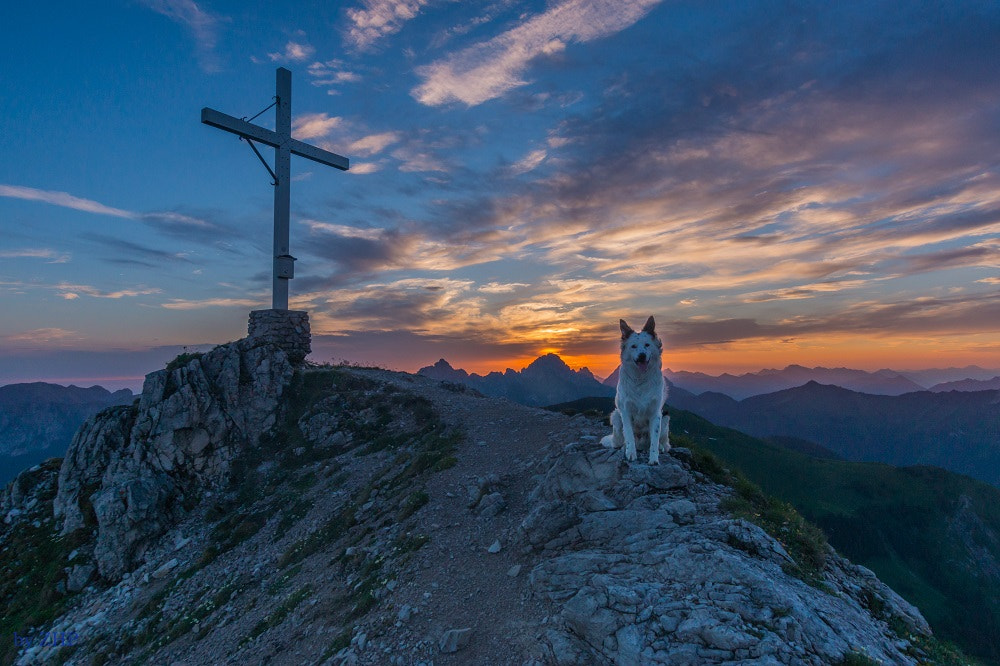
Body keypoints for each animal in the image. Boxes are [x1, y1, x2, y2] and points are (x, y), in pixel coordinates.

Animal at [600, 316, 672, 462]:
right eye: (633, 346)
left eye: (647, 345)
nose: (642, 355)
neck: (640, 378)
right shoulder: (626, 411)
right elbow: (628, 434)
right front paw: (630, 453)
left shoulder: (656, 413)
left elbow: (654, 439)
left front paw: (654, 459)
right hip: (616, 415)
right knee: (622, 439)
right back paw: (624, 447)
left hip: (665, 417)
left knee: (661, 442)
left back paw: (661, 448)